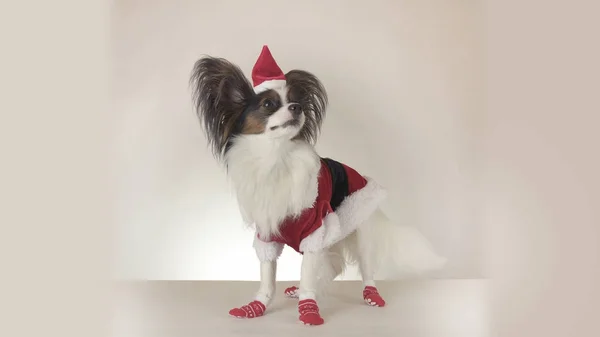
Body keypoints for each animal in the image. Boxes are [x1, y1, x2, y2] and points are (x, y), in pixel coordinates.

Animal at [189, 46, 446, 324]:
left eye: (295, 100)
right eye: (268, 104)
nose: (298, 107)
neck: (275, 157)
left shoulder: (314, 229)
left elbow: (308, 275)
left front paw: (309, 309)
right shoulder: (267, 233)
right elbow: (268, 277)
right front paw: (257, 307)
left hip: (359, 230)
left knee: (365, 268)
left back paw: (371, 295)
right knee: (333, 265)